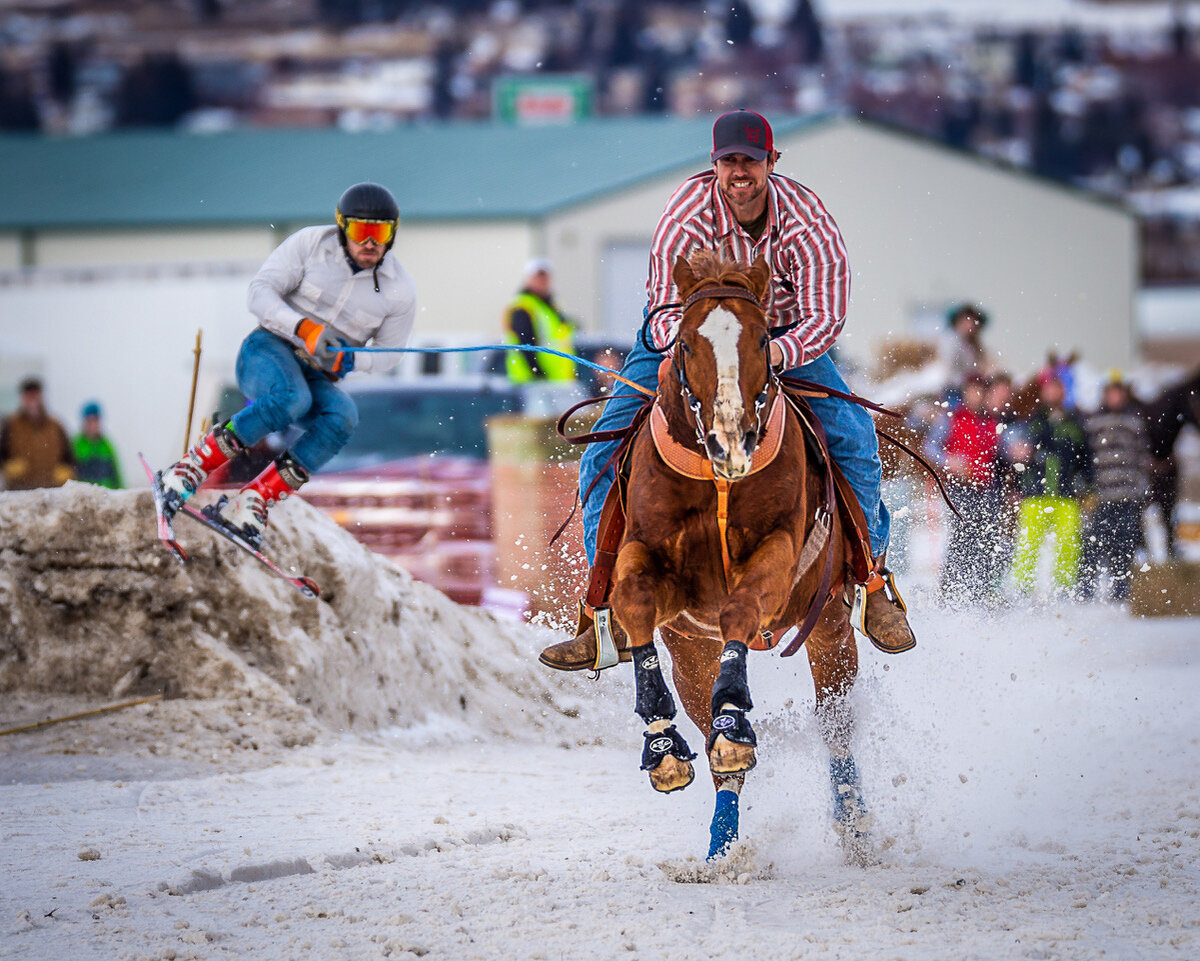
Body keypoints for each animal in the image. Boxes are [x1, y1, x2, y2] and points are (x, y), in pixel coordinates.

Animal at [609, 247, 873, 863]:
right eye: (684, 343)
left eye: (760, 339)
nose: (733, 438)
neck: (718, 480)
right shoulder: (654, 564)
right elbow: (632, 601)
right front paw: (661, 743)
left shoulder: (778, 553)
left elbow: (741, 608)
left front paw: (734, 712)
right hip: (690, 652)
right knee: (716, 749)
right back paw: (721, 841)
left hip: (828, 626)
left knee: (837, 725)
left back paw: (855, 825)